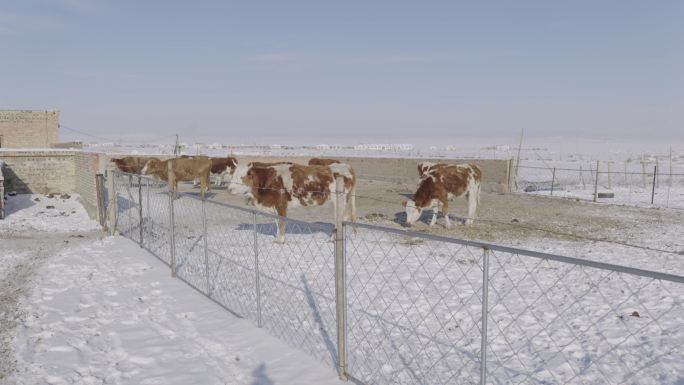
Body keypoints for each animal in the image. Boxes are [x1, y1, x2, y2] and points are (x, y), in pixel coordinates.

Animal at [230, 163, 358, 242]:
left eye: (241, 177)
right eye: (233, 175)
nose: (229, 188)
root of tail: (345, 166)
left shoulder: (281, 204)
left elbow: (281, 222)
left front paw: (281, 241)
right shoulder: (274, 206)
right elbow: (277, 222)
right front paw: (277, 239)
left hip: (339, 201)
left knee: (340, 220)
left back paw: (332, 240)